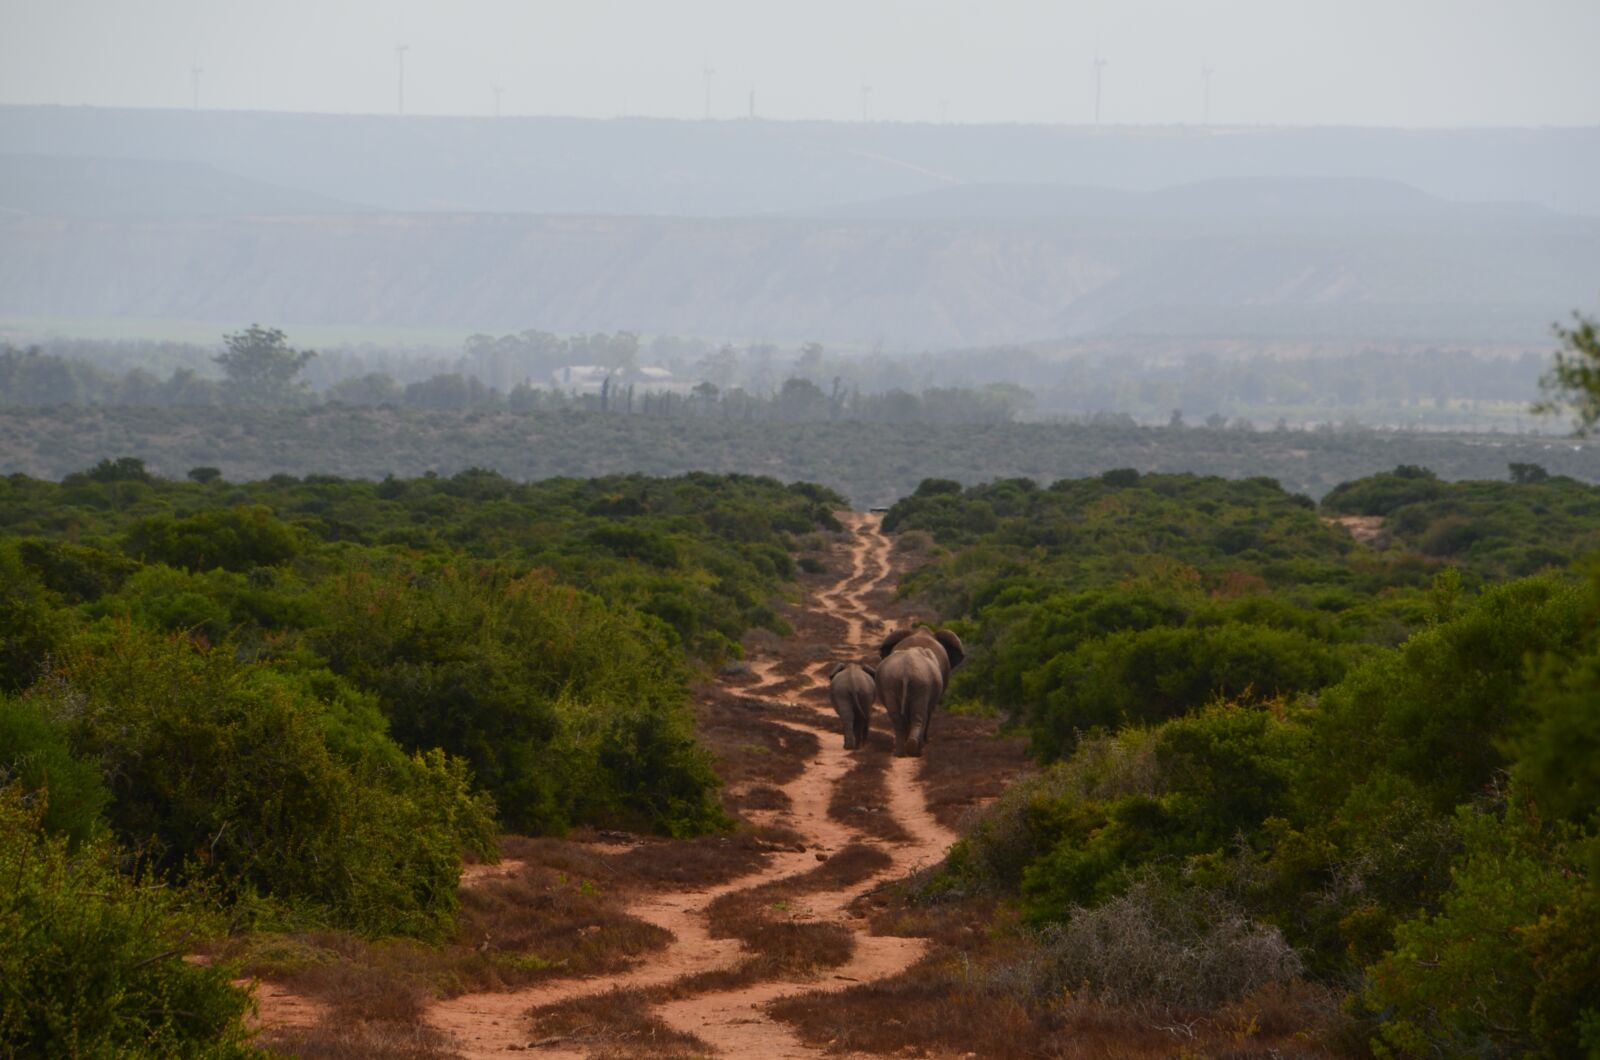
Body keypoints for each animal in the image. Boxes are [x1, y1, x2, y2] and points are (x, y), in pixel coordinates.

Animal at [876, 628, 965, 757]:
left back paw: (901, 752)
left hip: (893, 683)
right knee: (920, 716)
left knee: (898, 718)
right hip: (922, 684)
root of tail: (906, 672)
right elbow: (929, 710)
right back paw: (916, 750)